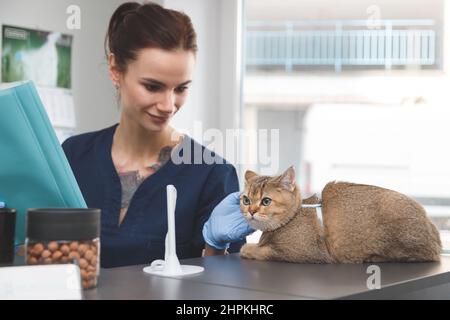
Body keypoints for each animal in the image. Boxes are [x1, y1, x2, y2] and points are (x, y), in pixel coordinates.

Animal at [241, 168, 442, 262]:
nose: (251, 211)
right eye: (246, 200)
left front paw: (249, 248)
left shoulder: (306, 253)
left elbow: (263, 250)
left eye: (266, 201)